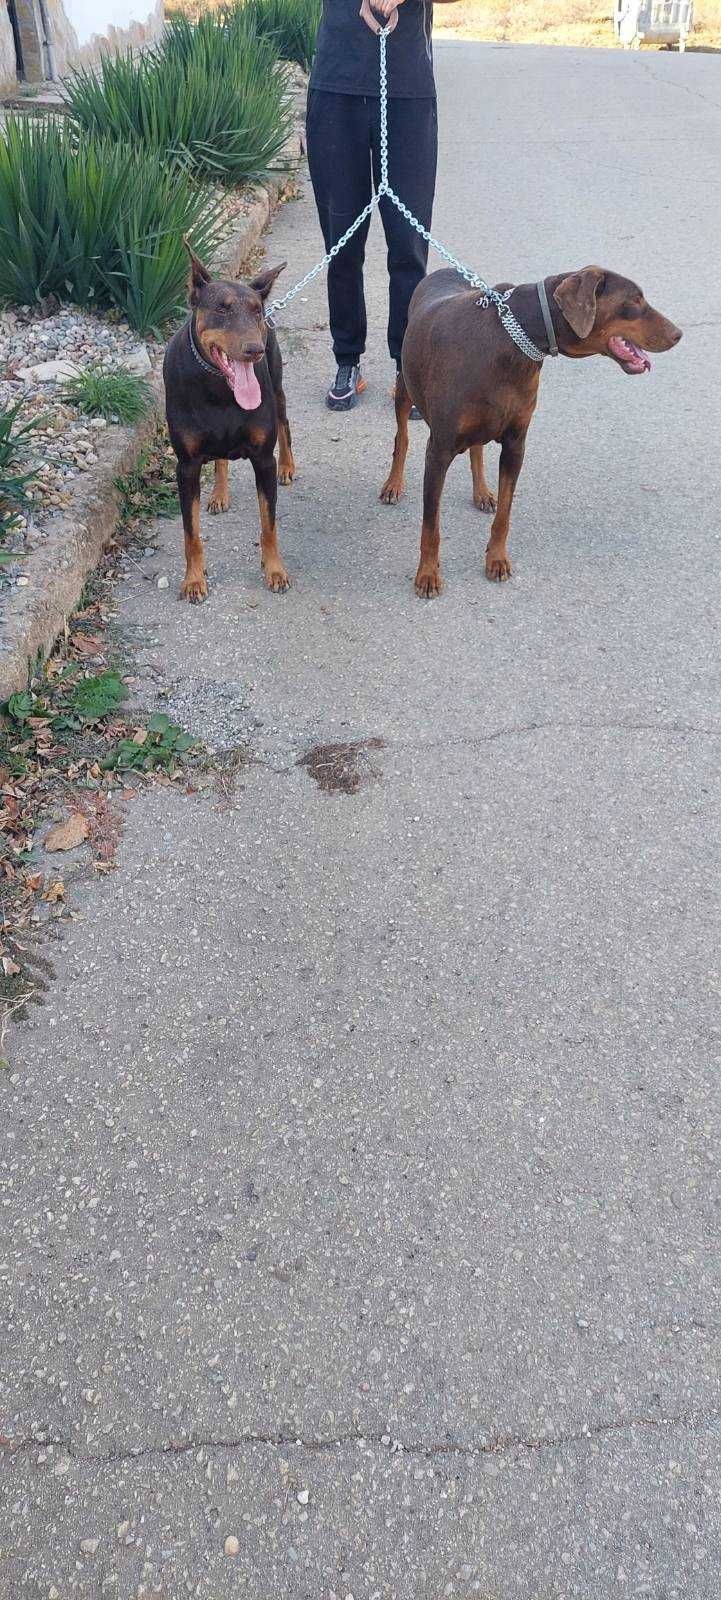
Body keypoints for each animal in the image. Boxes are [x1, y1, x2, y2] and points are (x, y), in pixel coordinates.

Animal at [165, 243, 295, 601]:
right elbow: (191, 532)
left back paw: (288, 466)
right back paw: (219, 493)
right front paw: (194, 579)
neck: (220, 391)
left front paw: (275, 570)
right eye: (221, 310)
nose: (255, 349)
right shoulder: (187, 465)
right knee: (221, 458)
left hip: (277, 390)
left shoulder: (263, 459)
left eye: (255, 311)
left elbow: (269, 524)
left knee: (285, 426)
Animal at [383, 265, 684, 598]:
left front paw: (497, 559)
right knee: (402, 436)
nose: (678, 334)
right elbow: (431, 525)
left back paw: (482, 492)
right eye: (635, 300)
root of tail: (444, 269)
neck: (513, 339)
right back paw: (393, 484)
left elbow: (505, 513)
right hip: (404, 385)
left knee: (476, 448)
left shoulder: (516, 444)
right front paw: (427, 575)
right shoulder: (439, 450)